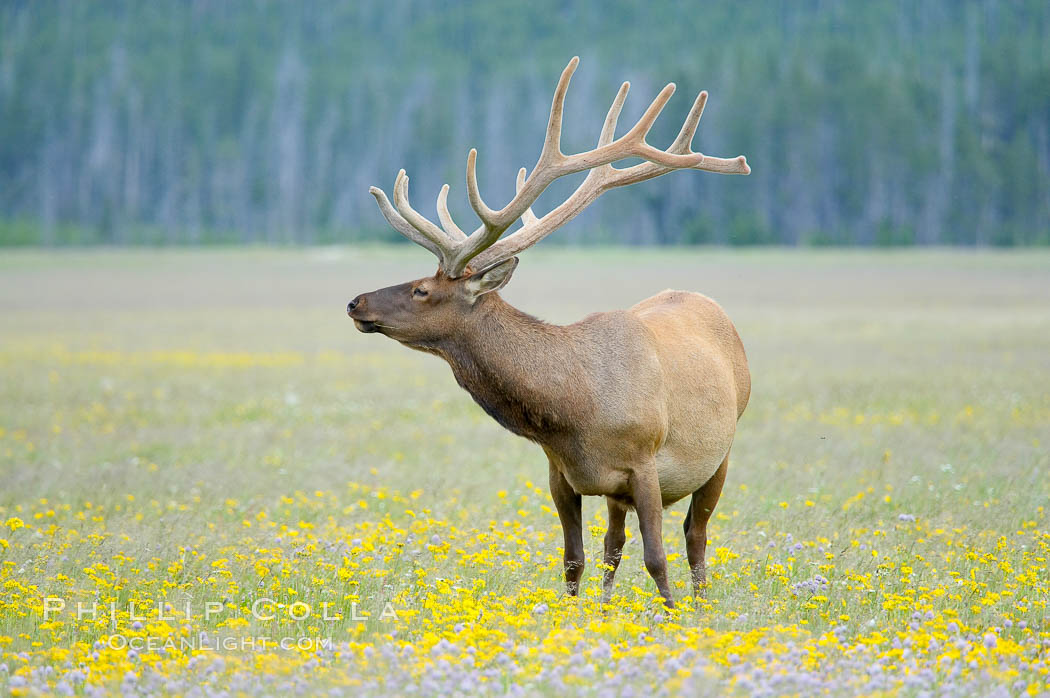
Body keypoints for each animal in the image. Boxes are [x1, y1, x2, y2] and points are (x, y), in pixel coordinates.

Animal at [348, 58, 751, 604]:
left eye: (421, 290)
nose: (356, 302)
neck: (573, 412)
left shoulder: (645, 464)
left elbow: (656, 557)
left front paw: (670, 613)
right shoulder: (561, 474)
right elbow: (574, 559)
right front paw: (578, 612)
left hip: (721, 451)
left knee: (696, 535)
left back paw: (701, 603)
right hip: (620, 493)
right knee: (613, 543)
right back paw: (607, 605)